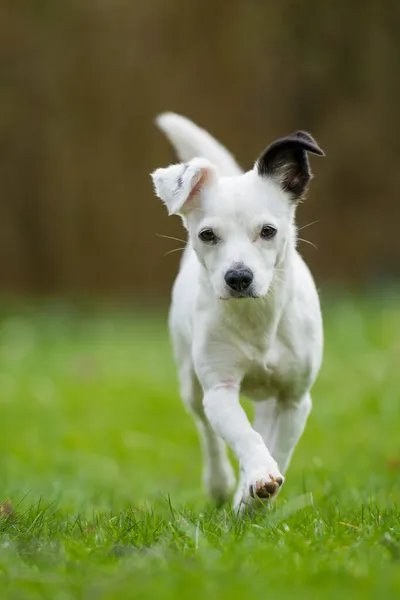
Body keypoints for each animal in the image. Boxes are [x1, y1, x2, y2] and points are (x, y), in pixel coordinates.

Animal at [152, 112, 324, 510]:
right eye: (207, 235)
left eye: (268, 231)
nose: (238, 277)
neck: (257, 318)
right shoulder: (219, 389)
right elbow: (244, 436)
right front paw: (255, 479)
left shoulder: (295, 400)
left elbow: (278, 447)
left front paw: (252, 497)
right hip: (190, 382)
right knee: (208, 433)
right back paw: (219, 484)